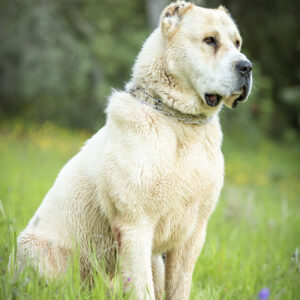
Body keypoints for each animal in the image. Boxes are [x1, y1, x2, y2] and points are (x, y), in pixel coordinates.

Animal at [13, 1, 251, 298]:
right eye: (210, 40)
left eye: (238, 43)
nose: (247, 67)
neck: (179, 123)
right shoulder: (135, 226)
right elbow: (141, 287)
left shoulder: (193, 234)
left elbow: (179, 287)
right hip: (37, 249)